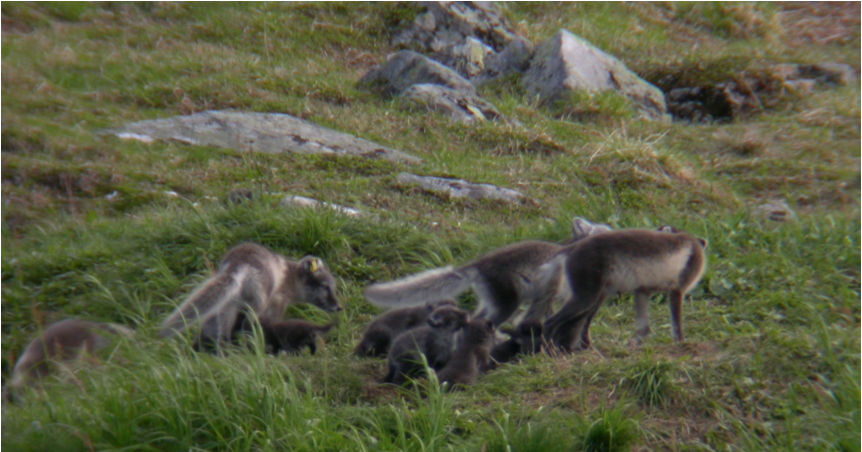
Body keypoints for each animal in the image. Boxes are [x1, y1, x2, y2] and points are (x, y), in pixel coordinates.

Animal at [159, 242, 340, 348]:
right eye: (325, 287)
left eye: (333, 287)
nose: (339, 307)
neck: (289, 278)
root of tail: (237, 264)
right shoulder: (276, 305)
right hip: (257, 303)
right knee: (247, 326)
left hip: (227, 303)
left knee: (218, 328)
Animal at [364, 217, 616, 326]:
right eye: (607, 230)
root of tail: (478, 264)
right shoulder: (549, 290)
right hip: (507, 303)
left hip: (489, 300)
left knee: (474, 318)